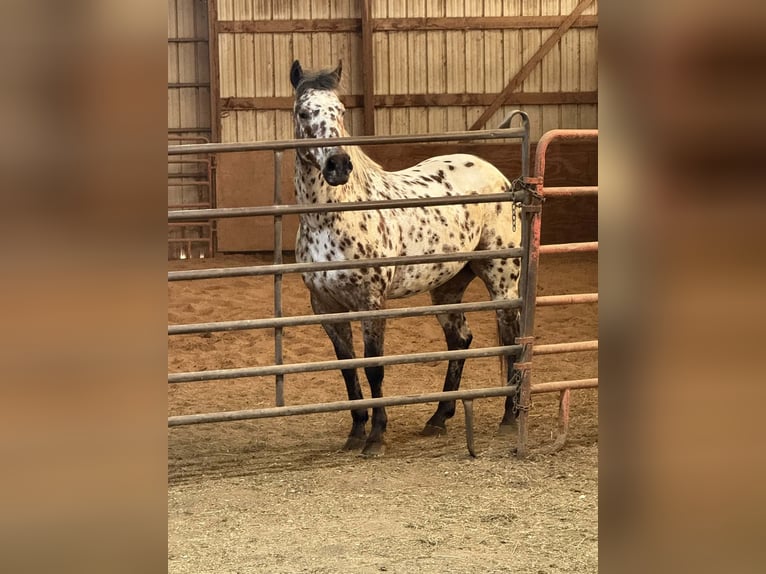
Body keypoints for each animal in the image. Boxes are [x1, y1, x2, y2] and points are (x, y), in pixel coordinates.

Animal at [290, 60, 522, 456]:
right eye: (304, 112)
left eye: (340, 111)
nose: (338, 165)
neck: (333, 217)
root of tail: (499, 177)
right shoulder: (325, 306)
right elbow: (348, 368)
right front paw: (356, 431)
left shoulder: (371, 302)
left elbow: (374, 367)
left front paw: (376, 437)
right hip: (447, 288)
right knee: (460, 340)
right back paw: (438, 418)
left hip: (502, 280)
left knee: (511, 338)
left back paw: (509, 417)